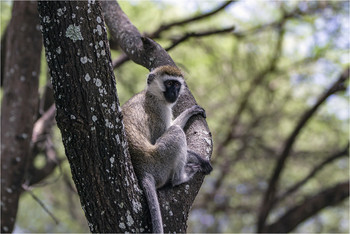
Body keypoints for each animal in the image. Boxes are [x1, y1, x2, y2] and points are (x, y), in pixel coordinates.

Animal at [121, 65, 212, 233]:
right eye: (169, 83)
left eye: (177, 84)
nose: (174, 93)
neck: (152, 94)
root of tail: (143, 170)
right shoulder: (159, 109)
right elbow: (162, 135)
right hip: (160, 162)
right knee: (176, 132)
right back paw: (180, 178)